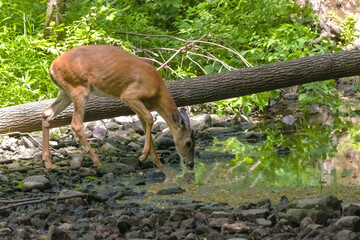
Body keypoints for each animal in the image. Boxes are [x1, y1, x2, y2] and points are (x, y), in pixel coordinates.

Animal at [41, 44, 197, 171]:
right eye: (188, 143)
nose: (191, 164)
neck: (157, 91)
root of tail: (51, 67)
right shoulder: (129, 95)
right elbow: (150, 118)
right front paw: (142, 158)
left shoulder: (139, 104)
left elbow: (145, 124)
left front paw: (158, 163)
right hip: (79, 88)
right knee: (76, 124)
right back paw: (98, 162)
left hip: (66, 91)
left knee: (47, 113)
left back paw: (47, 162)